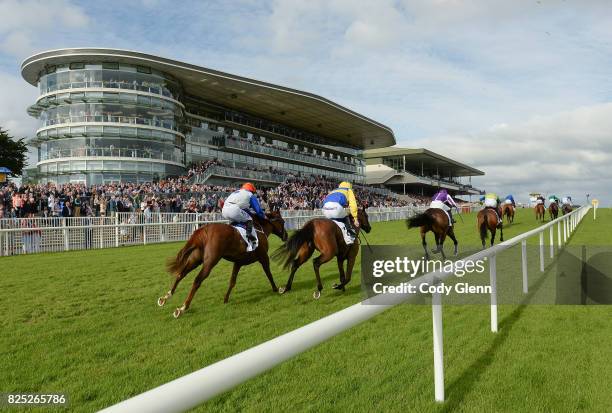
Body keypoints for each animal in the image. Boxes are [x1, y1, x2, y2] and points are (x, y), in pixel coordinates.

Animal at [160, 211, 290, 318]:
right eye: (283, 222)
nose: (286, 236)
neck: (260, 229)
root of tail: (204, 229)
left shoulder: (238, 262)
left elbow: (232, 281)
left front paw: (226, 299)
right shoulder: (263, 257)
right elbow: (269, 274)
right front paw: (277, 289)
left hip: (196, 259)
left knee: (181, 274)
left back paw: (165, 297)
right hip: (211, 261)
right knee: (197, 280)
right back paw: (182, 308)